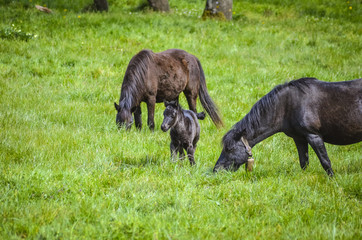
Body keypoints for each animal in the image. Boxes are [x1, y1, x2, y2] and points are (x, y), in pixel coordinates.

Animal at [214, 78, 360, 176]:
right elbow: (304, 162)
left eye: (229, 149)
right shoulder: (300, 138)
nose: (216, 170)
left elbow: (326, 162)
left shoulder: (314, 136)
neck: (287, 105)